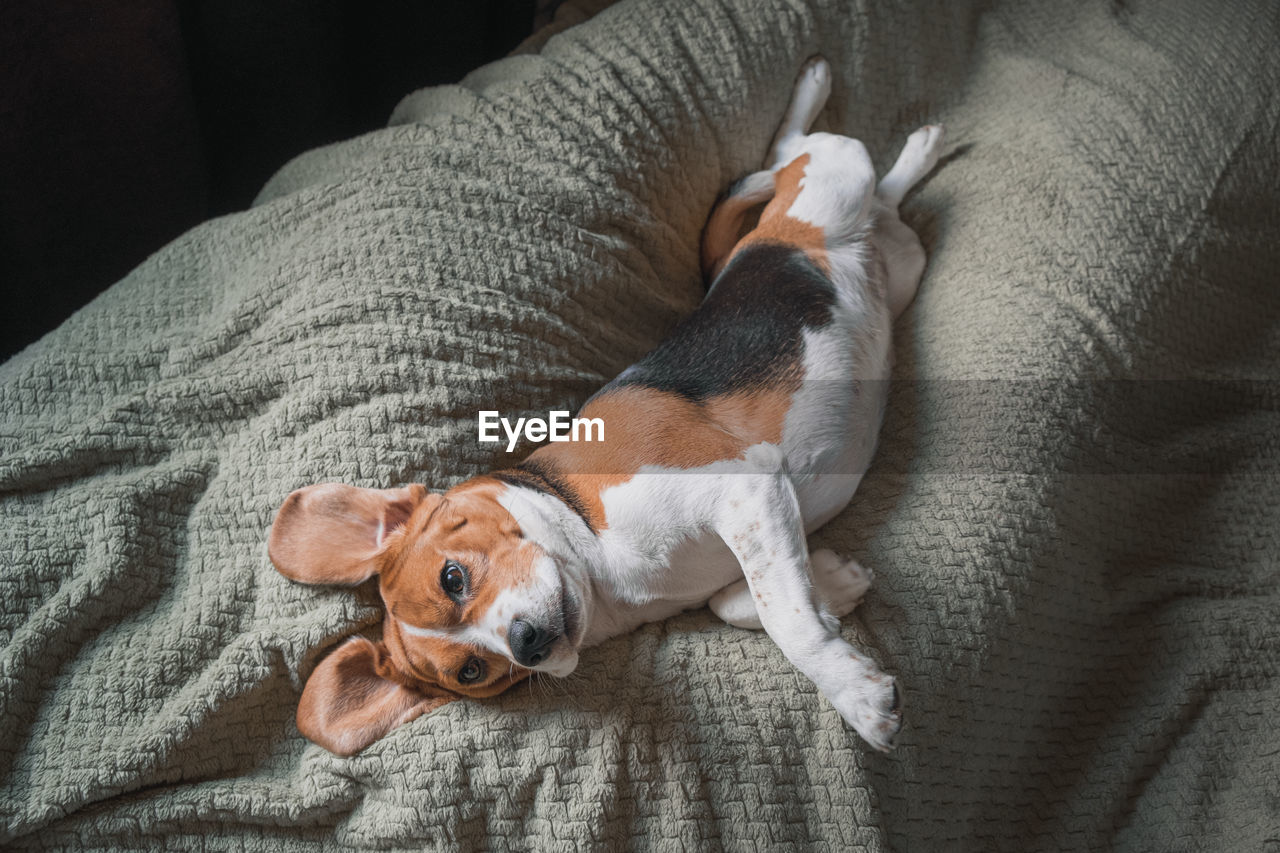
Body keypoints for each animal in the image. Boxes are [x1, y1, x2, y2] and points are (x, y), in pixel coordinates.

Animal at [270, 56, 947, 753]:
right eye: (471, 670)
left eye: (452, 579)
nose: (527, 644)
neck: (601, 568)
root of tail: (772, 235)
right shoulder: (758, 516)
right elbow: (743, 601)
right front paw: (835, 583)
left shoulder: (745, 485)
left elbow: (786, 620)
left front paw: (856, 696)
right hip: (902, 265)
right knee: (884, 195)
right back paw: (916, 152)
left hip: (830, 180)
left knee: (798, 150)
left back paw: (825, 96)